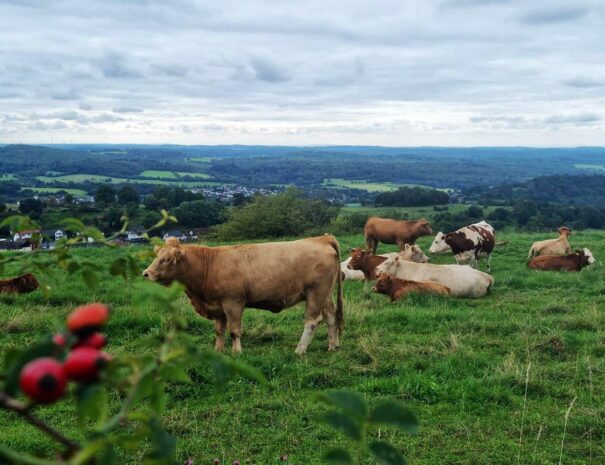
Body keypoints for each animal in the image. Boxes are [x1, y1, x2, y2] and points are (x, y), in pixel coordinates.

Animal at [140, 237, 340, 354]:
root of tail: (321, 238)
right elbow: (219, 330)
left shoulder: (233, 302)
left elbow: (234, 330)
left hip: (315, 293)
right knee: (331, 317)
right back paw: (332, 346)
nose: (146, 273)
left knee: (312, 321)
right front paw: (218, 350)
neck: (210, 265)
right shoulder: (218, 305)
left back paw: (300, 350)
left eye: (166, 259)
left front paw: (237, 352)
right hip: (325, 295)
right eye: (156, 256)